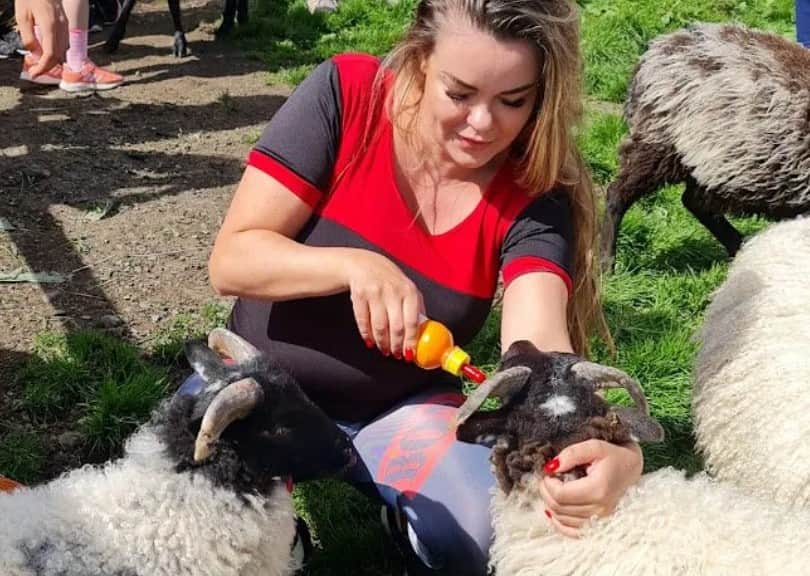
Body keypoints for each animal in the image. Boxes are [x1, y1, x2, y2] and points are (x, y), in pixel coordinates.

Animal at [600, 22, 810, 272]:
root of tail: (652, 55)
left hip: (710, 162)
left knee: (695, 202)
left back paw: (739, 247)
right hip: (660, 144)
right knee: (617, 194)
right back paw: (606, 264)